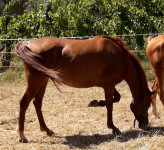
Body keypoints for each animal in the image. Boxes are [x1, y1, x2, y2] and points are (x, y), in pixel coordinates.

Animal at [15, 35, 152, 143]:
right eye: (148, 104)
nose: (146, 125)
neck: (121, 56)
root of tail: (27, 44)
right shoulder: (109, 84)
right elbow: (110, 104)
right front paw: (113, 127)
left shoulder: (108, 85)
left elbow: (116, 98)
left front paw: (95, 103)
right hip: (35, 82)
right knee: (24, 103)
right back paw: (22, 136)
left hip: (43, 82)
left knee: (37, 103)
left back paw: (47, 130)